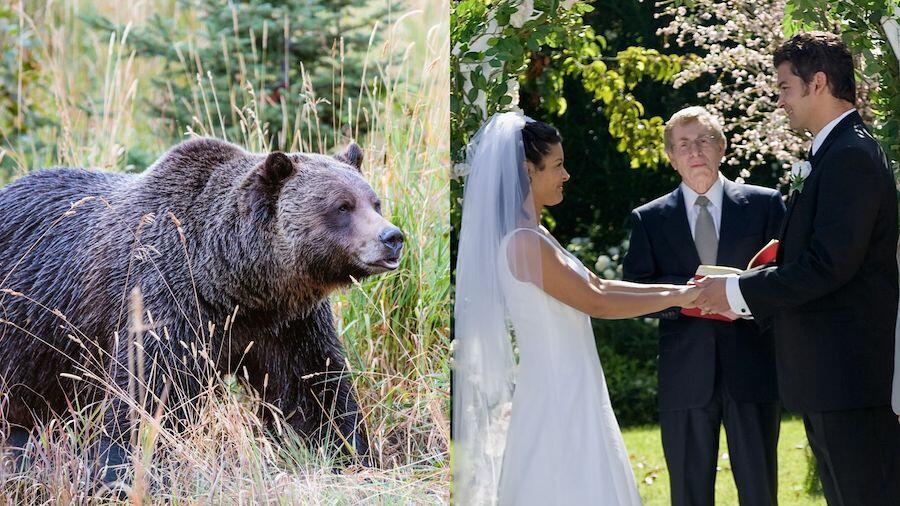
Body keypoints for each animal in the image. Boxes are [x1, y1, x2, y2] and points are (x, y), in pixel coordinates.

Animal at [0, 137, 400, 478]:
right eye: (342, 206)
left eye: (374, 201)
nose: (392, 237)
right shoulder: (166, 299)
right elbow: (149, 390)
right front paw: (122, 465)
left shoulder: (287, 323)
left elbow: (313, 387)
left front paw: (348, 451)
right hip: (28, 321)